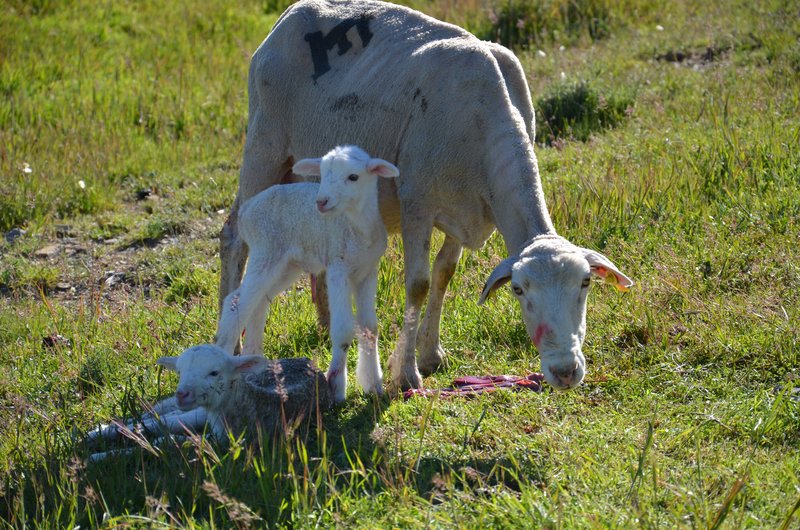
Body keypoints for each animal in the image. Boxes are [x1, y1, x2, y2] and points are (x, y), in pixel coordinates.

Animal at [214, 144, 398, 400]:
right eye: (321, 174)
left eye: (353, 177)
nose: (321, 202)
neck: (357, 227)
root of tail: (246, 210)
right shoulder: (337, 266)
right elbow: (343, 329)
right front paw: (336, 386)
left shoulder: (367, 271)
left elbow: (370, 327)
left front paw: (374, 386)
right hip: (265, 251)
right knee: (236, 301)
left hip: (286, 264)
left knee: (257, 302)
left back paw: (255, 357)